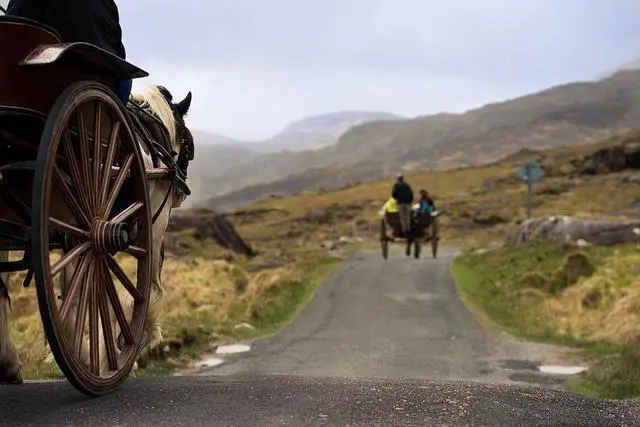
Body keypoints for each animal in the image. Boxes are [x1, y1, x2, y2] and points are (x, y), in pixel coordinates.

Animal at [0, 85, 192, 382]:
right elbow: (148, 291)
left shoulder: (70, 231)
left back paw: (8, 360)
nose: (181, 190)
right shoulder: (153, 230)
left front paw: (85, 350)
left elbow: (74, 290)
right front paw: (120, 347)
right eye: (186, 144)